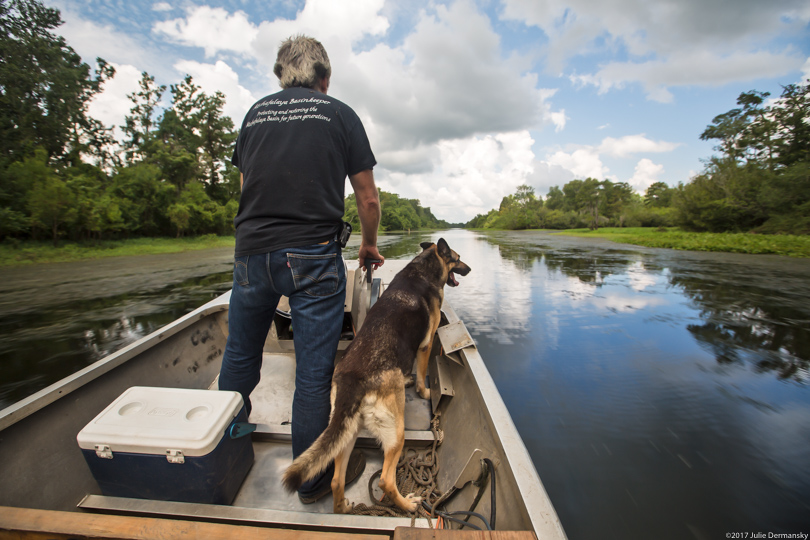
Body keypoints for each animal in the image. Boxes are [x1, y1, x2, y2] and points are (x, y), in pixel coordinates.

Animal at [284, 238, 474, 512]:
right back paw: (407, 505)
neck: (422, 270)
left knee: (336, 480)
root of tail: (352, 381)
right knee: (385, 480)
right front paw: (425, 392)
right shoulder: (426, 345)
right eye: (457, 258)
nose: (470, 269)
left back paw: (343, 509)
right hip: (396, 433)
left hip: (347, 433)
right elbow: (421, 375)